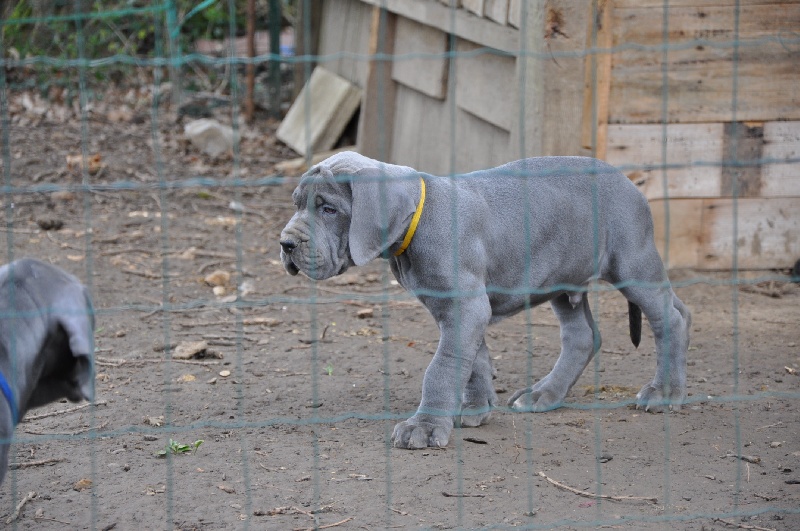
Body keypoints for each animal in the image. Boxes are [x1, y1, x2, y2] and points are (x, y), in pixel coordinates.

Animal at [279, 152, 691, 450]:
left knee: (671, 317)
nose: (285, 244)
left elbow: (442, 367)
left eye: (329, 209)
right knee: (583, 336)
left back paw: (665, 392)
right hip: (562, 280)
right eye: (297, 203)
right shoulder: (456, 307)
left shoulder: (466, 307)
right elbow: (473, 358)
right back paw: (544, 394)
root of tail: (630, 182)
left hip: (632, 261)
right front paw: (476, 406)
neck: (419, 219)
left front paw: (425, 426)